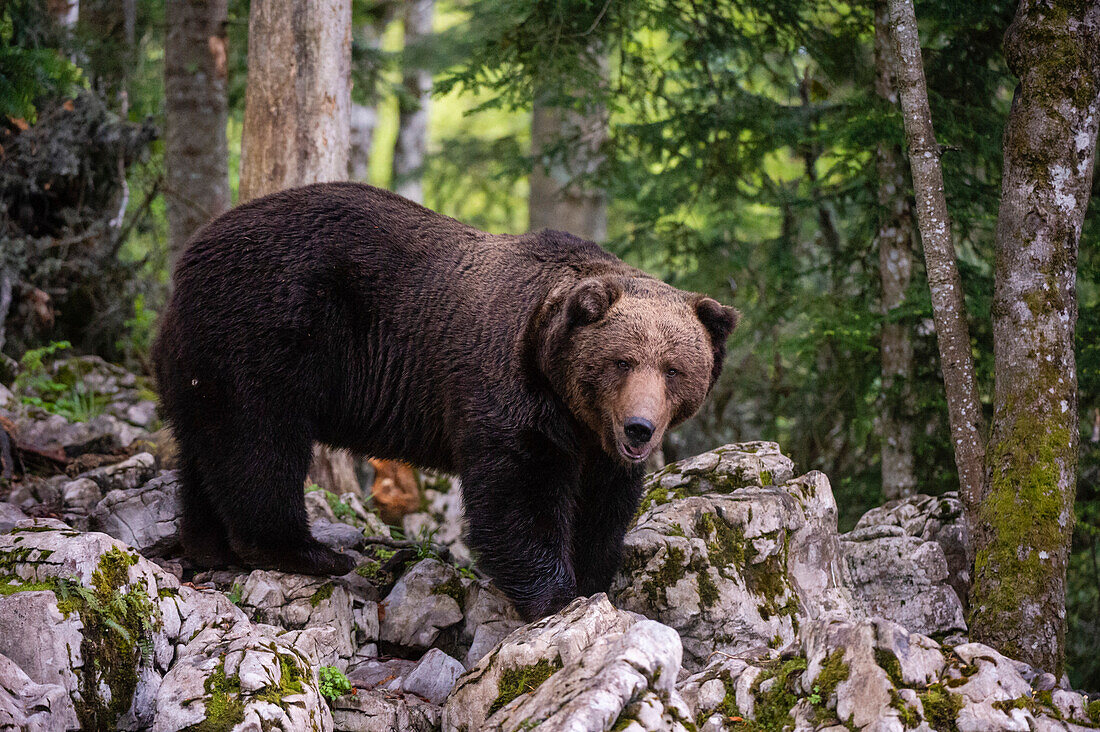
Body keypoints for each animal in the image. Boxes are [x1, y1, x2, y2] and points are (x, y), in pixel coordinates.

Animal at [152, 181, 739, 616]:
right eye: (621, 361)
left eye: (674, 369)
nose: (640, 427)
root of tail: (191, 253)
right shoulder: (507, 390)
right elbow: (518, 494)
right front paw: (556, 595)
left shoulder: (595, 442)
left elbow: (602, 505)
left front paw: (595, 579)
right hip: (268, 330)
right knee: (260, 442)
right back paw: (308, 552)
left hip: (205, 360)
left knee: (207, 443)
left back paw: (208, 543)